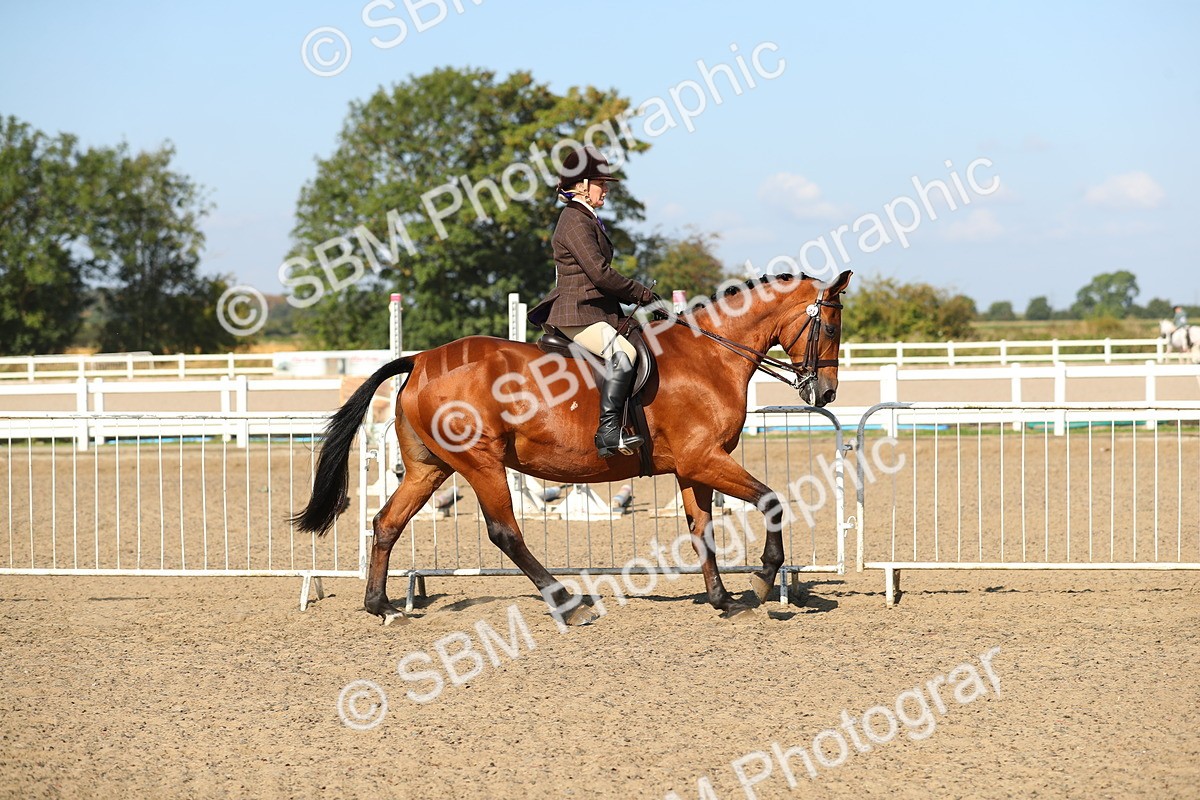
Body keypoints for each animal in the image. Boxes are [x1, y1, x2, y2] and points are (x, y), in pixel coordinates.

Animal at [292, 270, 852, 625]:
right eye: (829, 326)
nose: (825, 394)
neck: (709, 356)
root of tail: (421, 359)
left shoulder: (693, 467)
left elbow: (702, 531)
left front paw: (722, 599)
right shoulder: (705, 459)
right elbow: (772, 501)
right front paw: (760, 581)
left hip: (430, 468)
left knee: (386, 522)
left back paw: (382, 606)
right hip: (481, 463)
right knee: (504, 532)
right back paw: (566, 602)